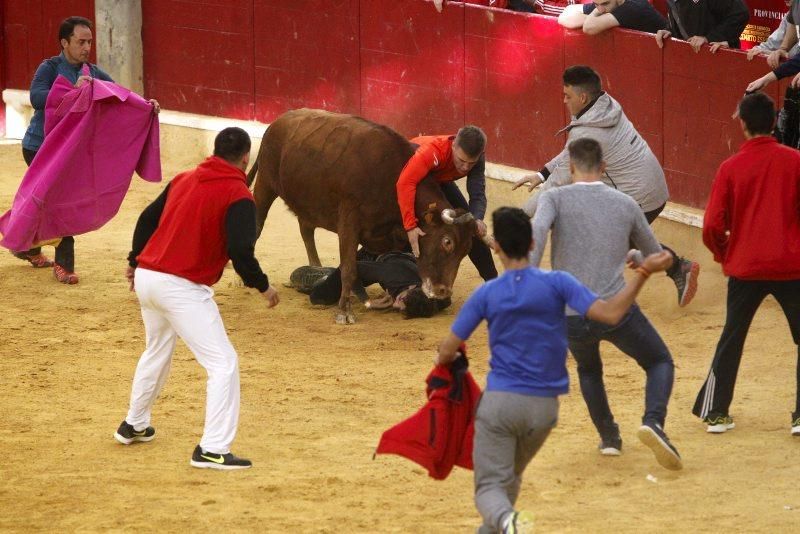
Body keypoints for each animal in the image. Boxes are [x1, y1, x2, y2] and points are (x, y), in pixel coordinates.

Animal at [250, 110, 476, 322]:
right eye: (447, 242)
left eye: (466, 251)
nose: (443, 291)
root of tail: (278, 122)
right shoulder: (349, 222)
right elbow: (349, 269)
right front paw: (344, 312)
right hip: (265, 183)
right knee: (257, 225)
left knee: (306, 229)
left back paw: (315, 266)